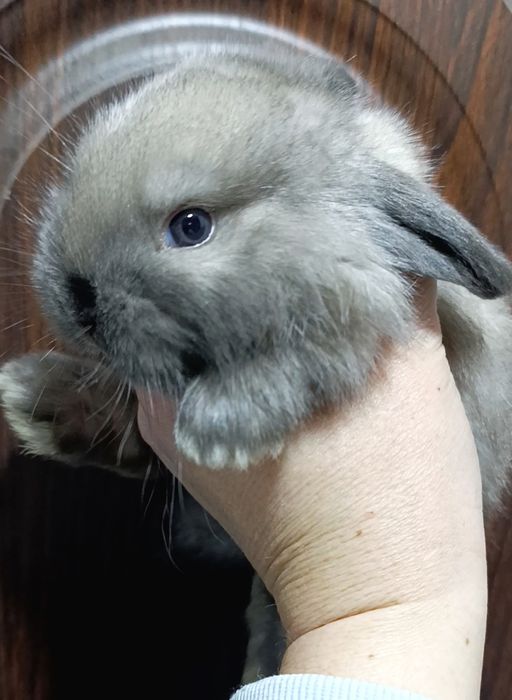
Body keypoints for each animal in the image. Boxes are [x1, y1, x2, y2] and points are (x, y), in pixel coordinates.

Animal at [1, 47, 512, 681]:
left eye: (191, 226)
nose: (76, 299)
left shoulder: (349, 318)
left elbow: (291, 365)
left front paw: (215, 437)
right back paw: (39, 400)